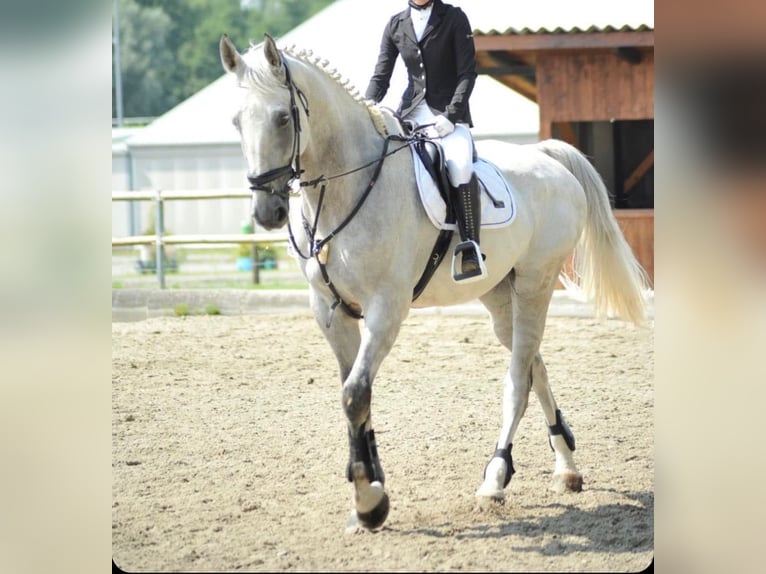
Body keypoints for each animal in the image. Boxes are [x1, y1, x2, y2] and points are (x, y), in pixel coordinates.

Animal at [219, 33, 648, 531]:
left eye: (283, 118)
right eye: (236, 121)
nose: (267, 213)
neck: (347, 187)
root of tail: (545, 156)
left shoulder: (386, 309)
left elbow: (355, 395)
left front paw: (369, 502)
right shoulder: (330, 312)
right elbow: (355, 395)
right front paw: (369, 490)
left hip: (536, 283)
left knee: (517, 381)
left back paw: (494, 480)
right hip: (500, 296)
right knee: (533, 366)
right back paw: (566, 468)